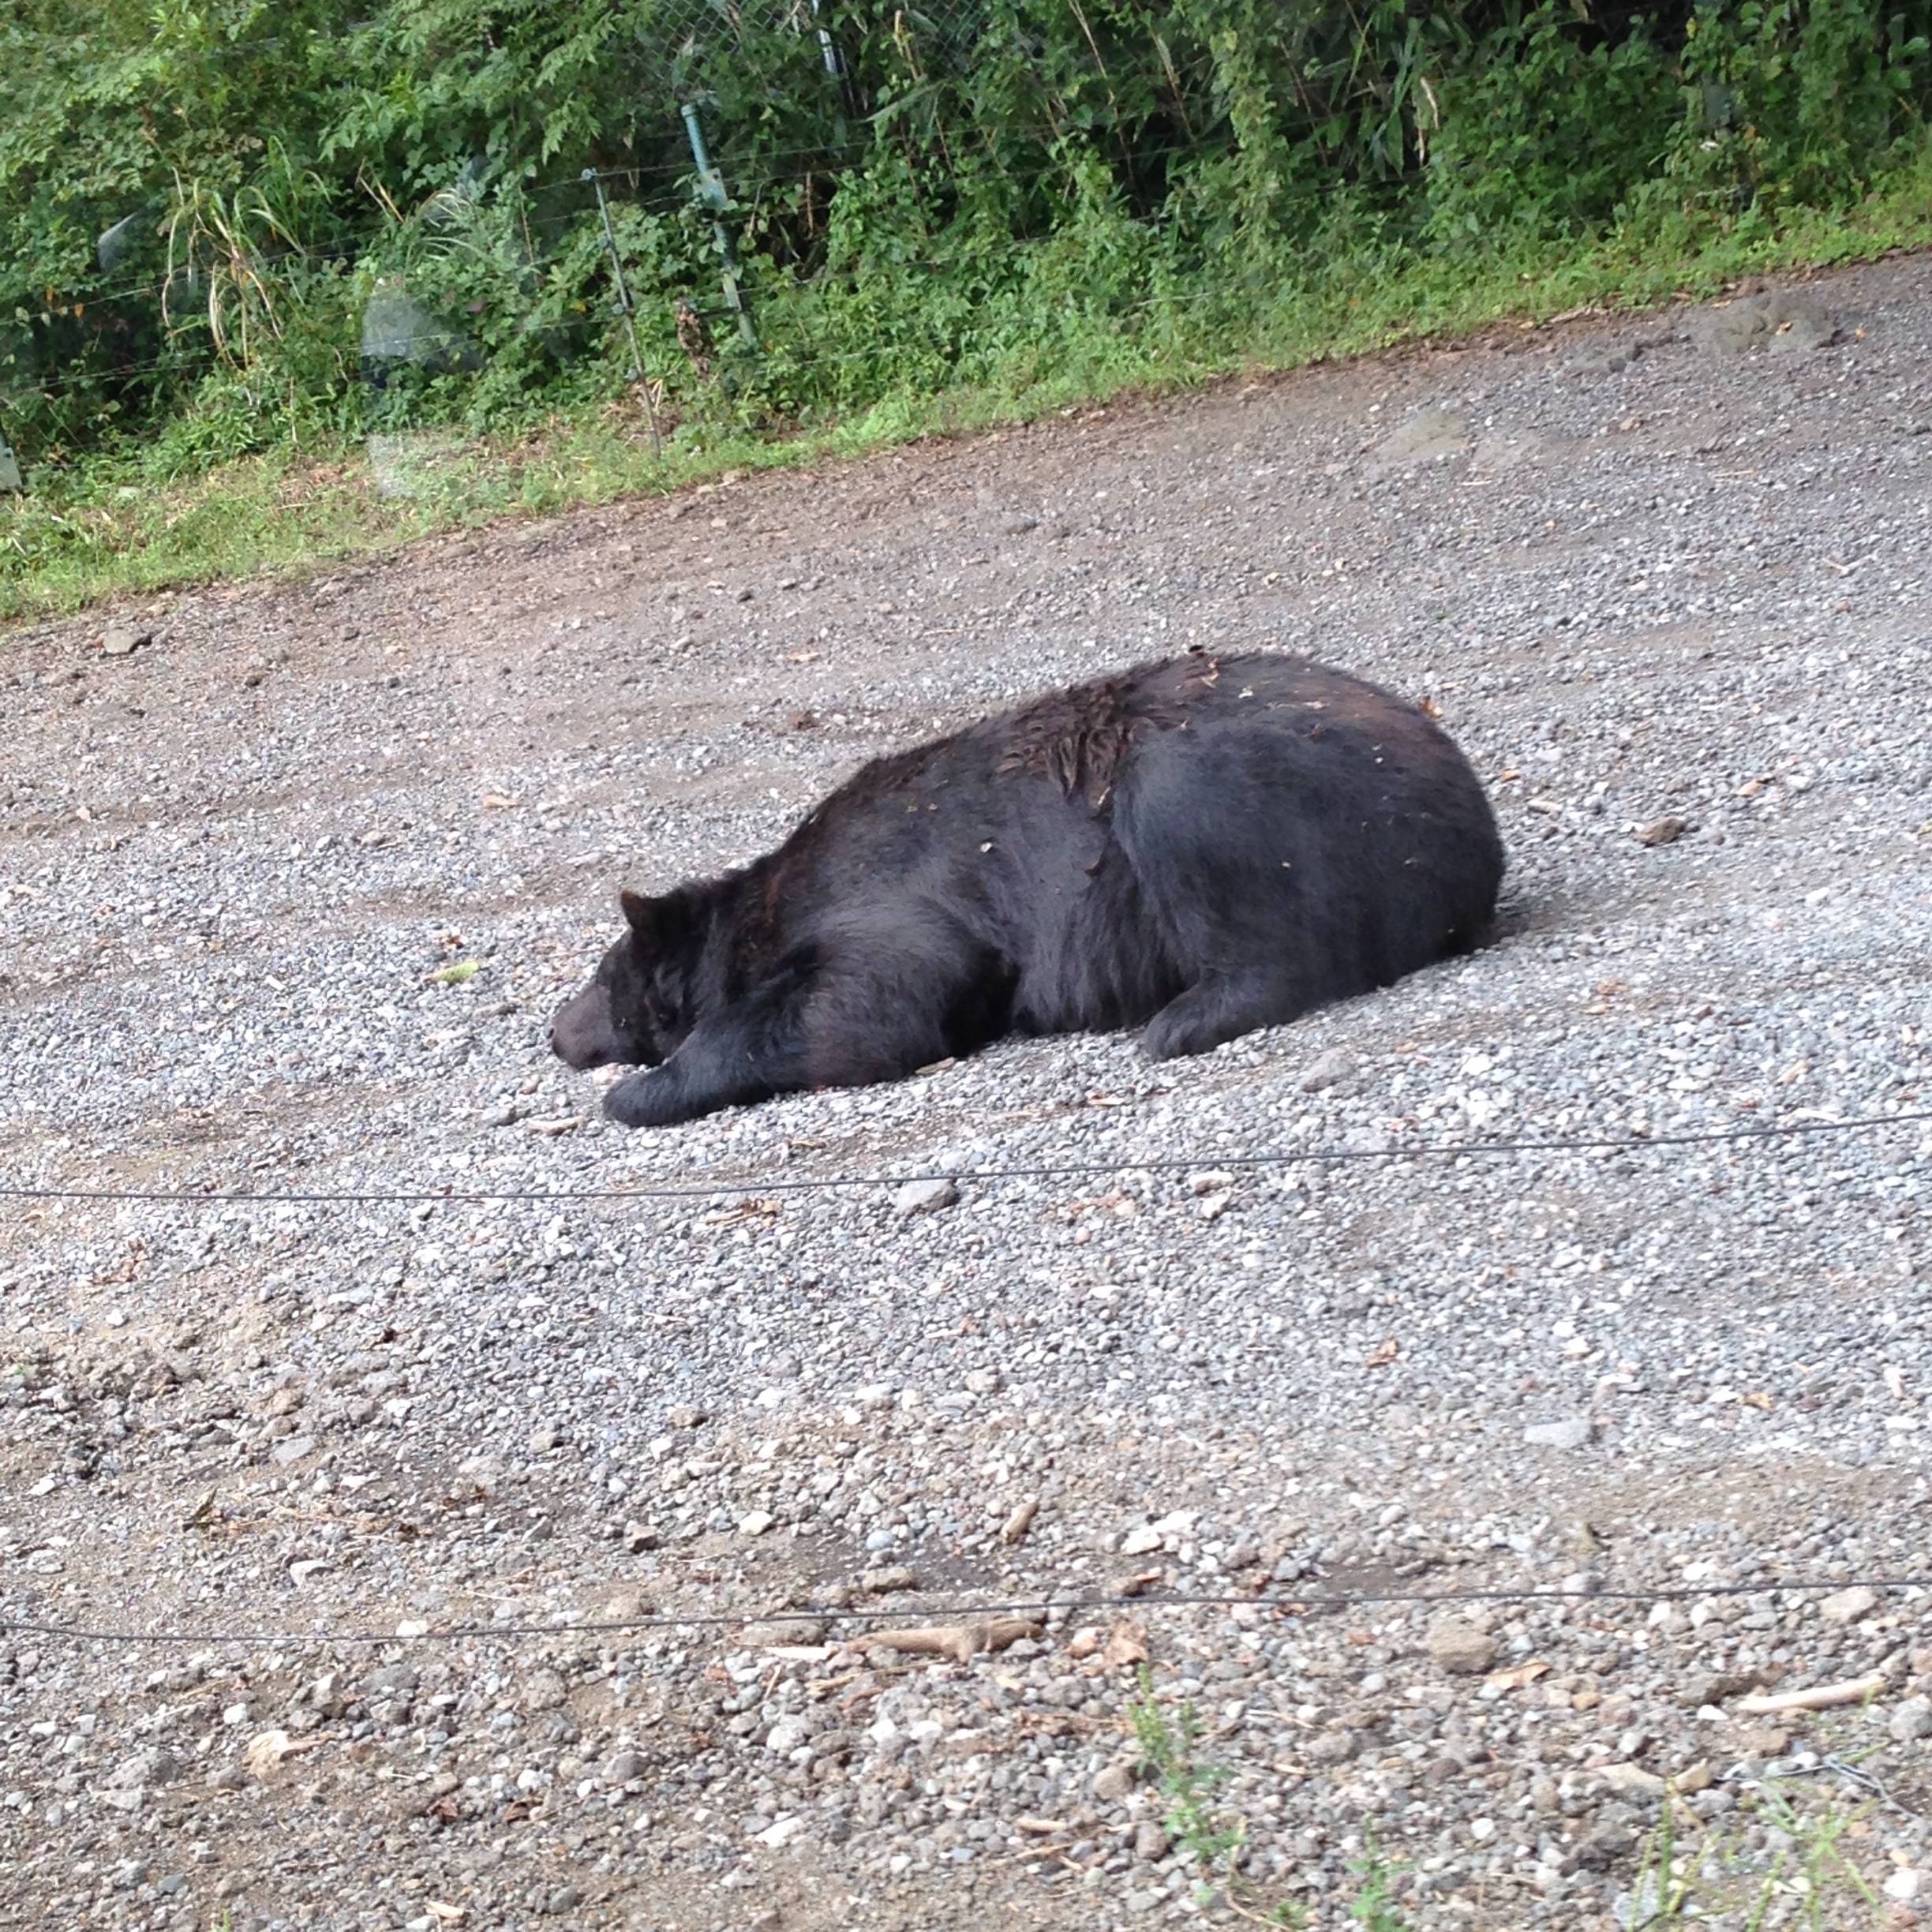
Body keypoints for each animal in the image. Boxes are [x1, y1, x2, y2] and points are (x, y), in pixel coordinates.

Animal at [552, 657, 1499, 1128]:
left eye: (601, 978)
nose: (555, 1030)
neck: (764, 913)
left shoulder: (887, 890)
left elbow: (870, 1003)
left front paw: (643, 1088)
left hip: (1286, 790)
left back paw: (1188, 1016)